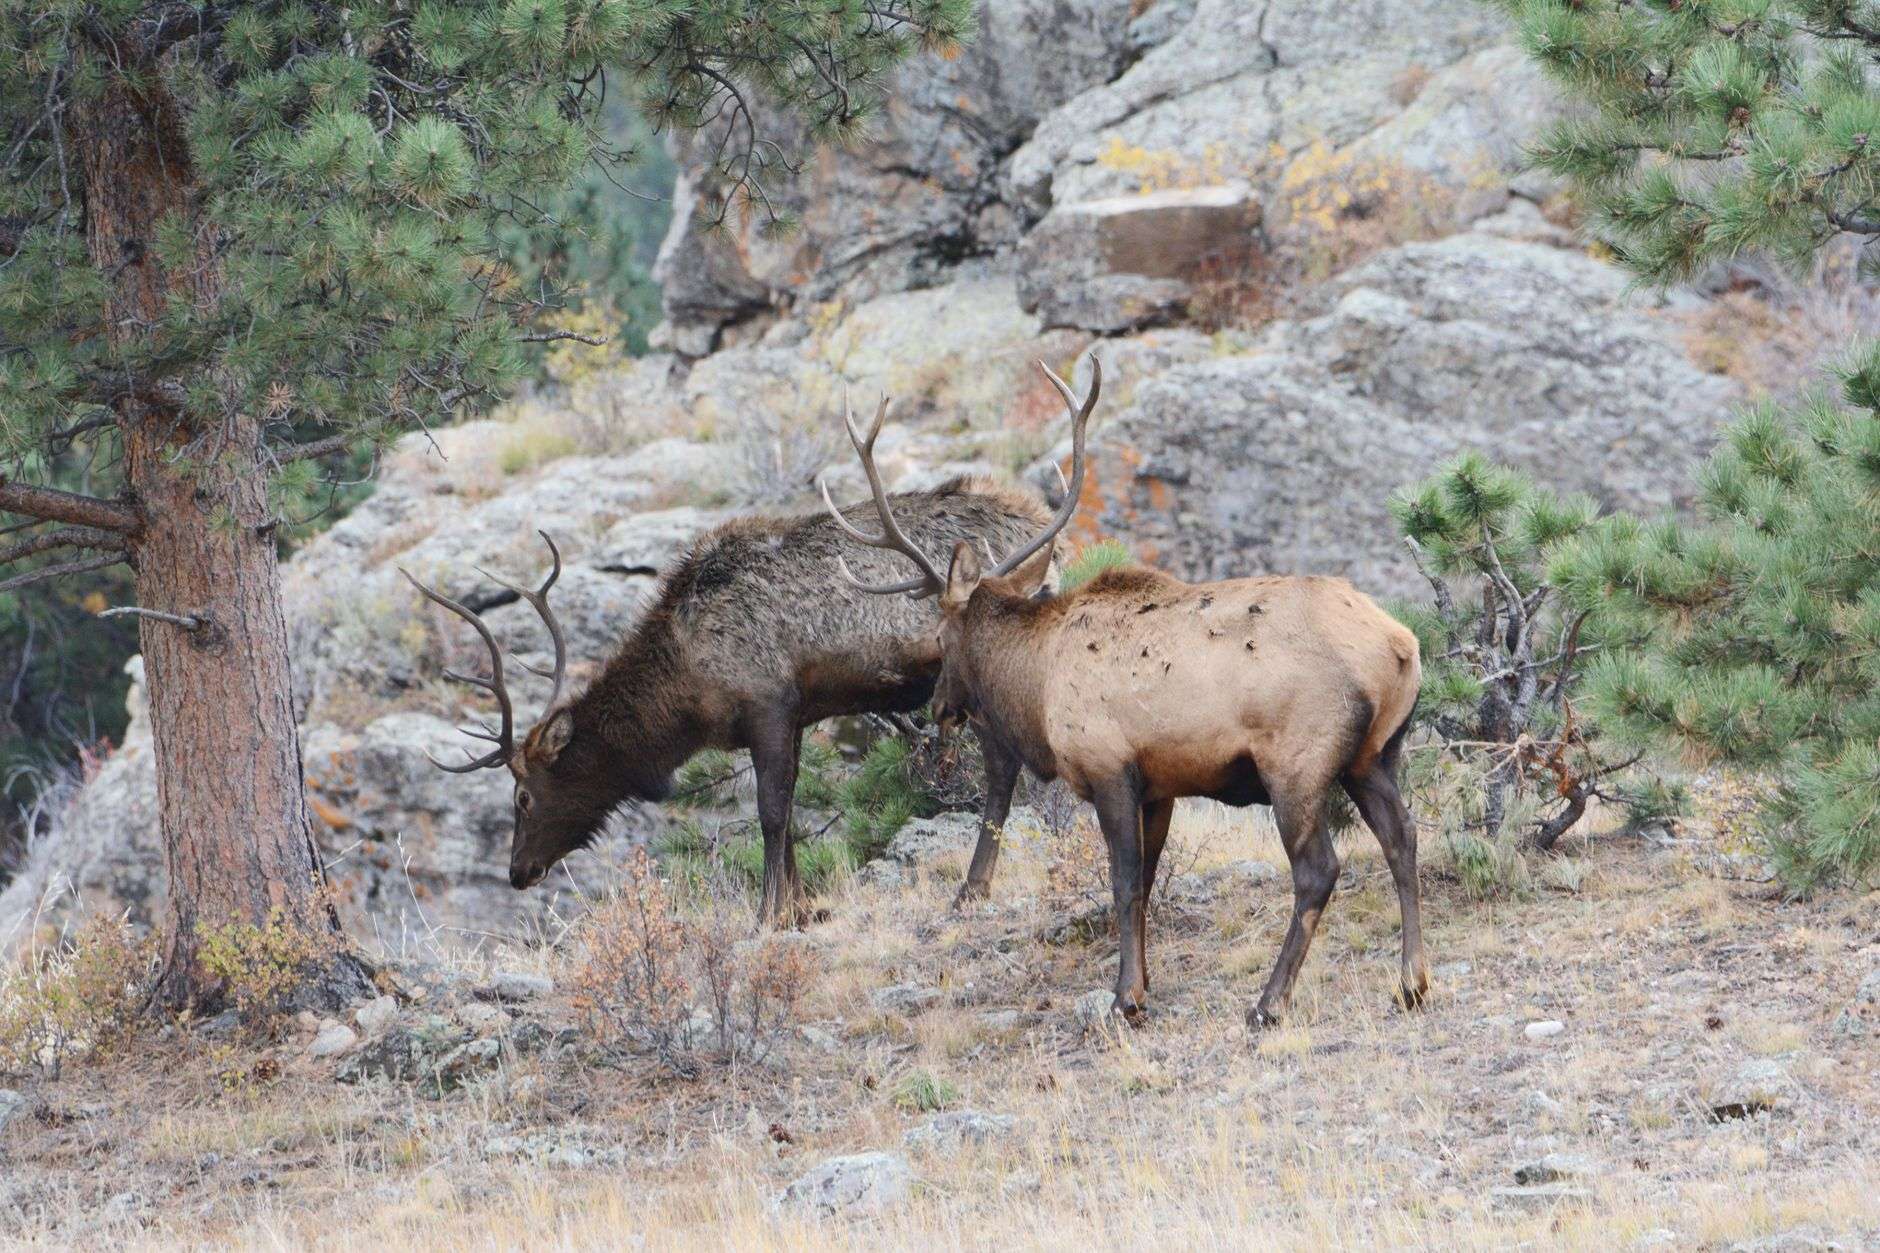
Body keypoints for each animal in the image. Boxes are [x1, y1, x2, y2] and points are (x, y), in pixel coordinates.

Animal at [399, 432, 1065, 927]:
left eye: (523, 796)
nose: (518, 872)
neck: (685, 690)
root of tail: (1044, 529)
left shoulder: (767, 702)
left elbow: (771, 812)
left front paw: (769, 914)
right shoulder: (791, 717)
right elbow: (789, 813)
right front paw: (801, 907)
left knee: (1003, 768)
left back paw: (972, 888)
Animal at [830, 357, 1429, 1028]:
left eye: (939, 635)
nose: (940, 707)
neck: (1037, 684)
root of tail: (1399, 647)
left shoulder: (1109, 766)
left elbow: (1122, 884)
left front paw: (1126, 997)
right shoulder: (1160, 787)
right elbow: (1143, 885)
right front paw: (1141, 984)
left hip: (1297, 761)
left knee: (1318, 869)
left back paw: (1269, 1002)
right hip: (1375, 756)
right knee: (1403, 840)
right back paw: (1411, 982)